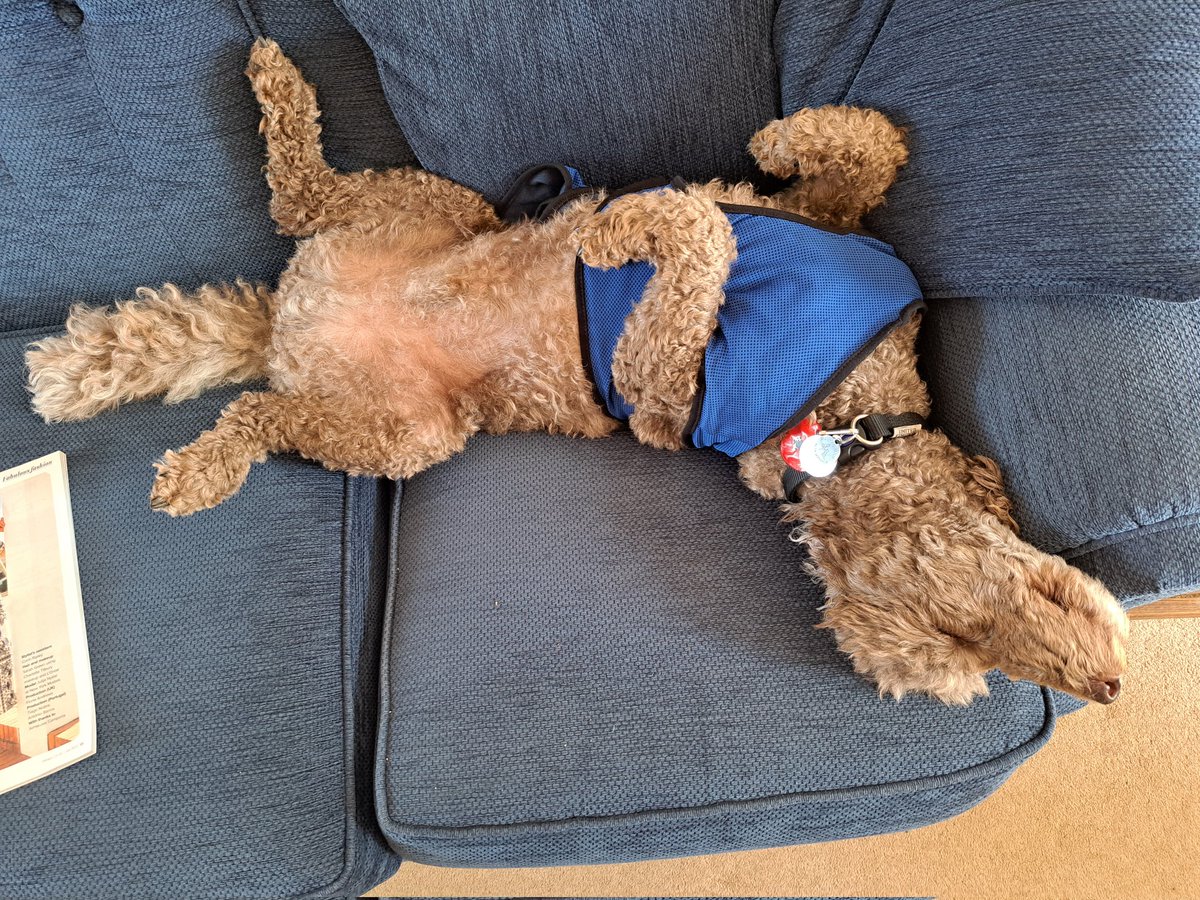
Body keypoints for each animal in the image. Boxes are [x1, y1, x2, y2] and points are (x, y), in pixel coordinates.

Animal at [23, 40, 1128, 705]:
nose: (1110, 691)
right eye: (962, 626)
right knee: (297, 204)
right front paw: (733, 161)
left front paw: (646, 219)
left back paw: (207, 456)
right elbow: (840, 160)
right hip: (437, 212)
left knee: (269, 383)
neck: (846, 424)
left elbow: (752, 216)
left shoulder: (670, 375)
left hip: (409, 425)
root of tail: (291, 322)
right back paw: (278, 80)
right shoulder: (801, 245)